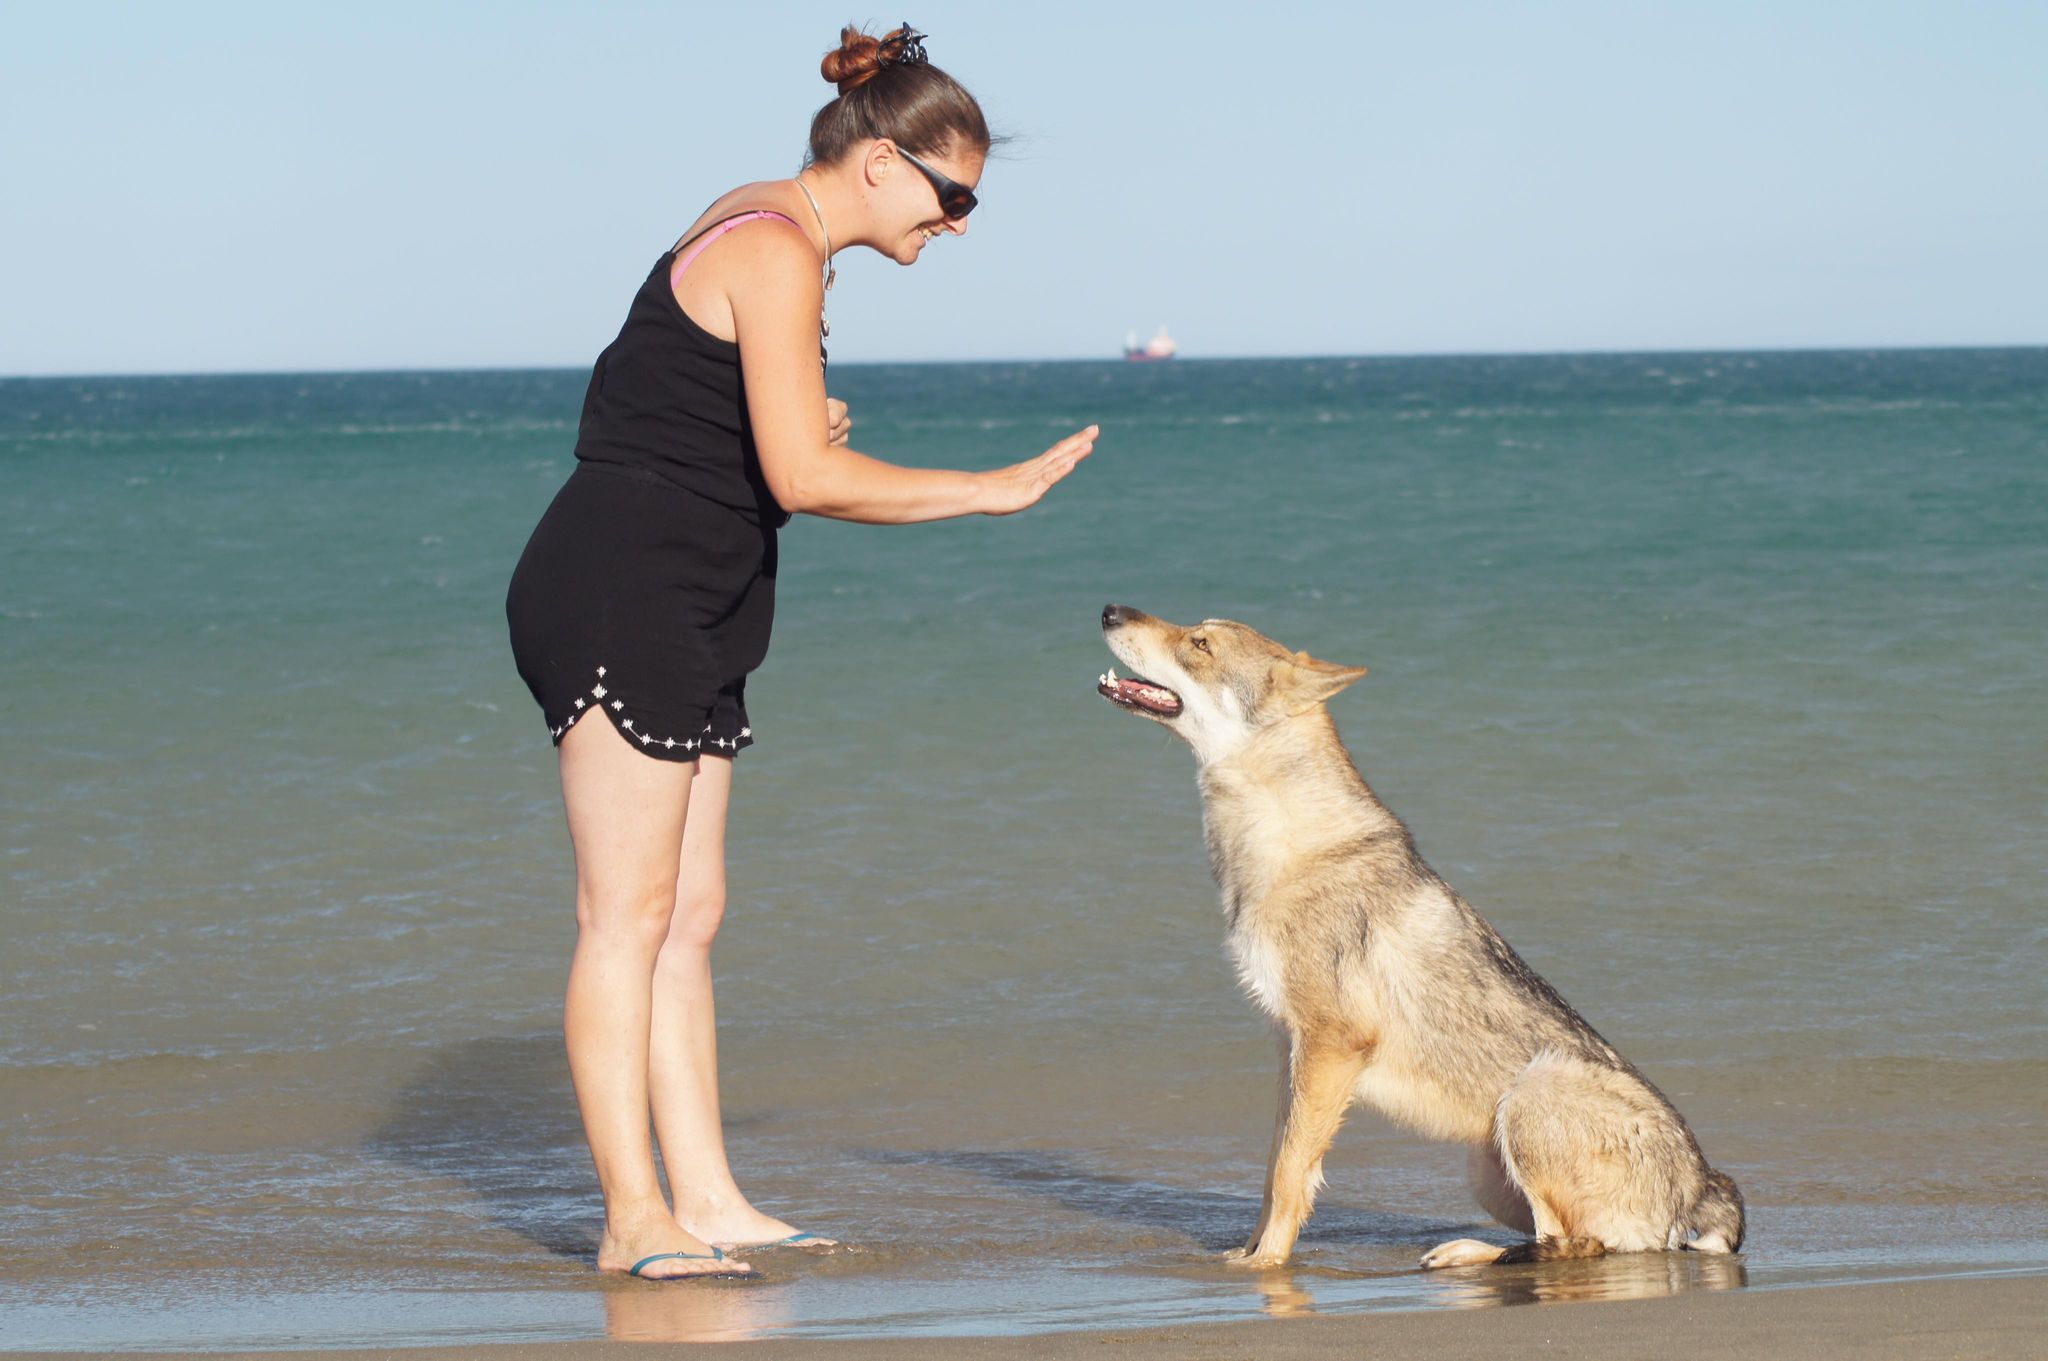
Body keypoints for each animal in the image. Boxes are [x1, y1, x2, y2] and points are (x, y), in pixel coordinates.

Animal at [1089, 601, 1744, 1260]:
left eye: (1200, 643)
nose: (1111, 610)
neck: (1285, 846)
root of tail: (1704, 1184)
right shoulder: (1290, 1049)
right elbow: (1274, 1167)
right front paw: (1246, 1256)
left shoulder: (1332, 1045)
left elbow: (1291, 1173)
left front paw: (1269, 1264)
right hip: (1485, 1171)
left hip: (1527, 1096)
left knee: (1568, 1244)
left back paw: (1463, 1254)